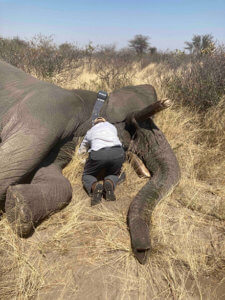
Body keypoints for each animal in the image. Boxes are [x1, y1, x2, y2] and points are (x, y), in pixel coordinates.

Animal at [0, 59, 180, 264]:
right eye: (133, 128)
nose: (142, 251)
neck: (95, 101)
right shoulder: (45, 116)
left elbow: (51, 175)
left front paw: (17, 206)